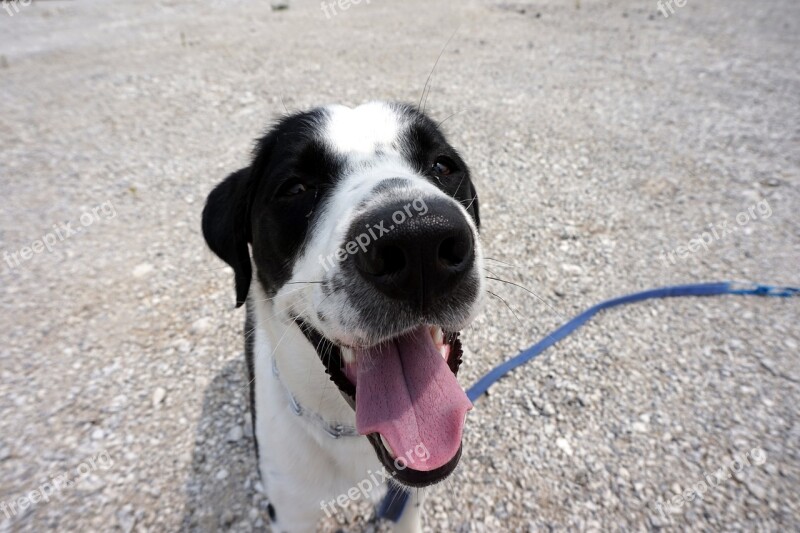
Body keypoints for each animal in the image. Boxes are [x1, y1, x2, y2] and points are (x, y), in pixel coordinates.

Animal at [203, 102, 484, 528]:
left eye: (442, 165)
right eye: (295, 188)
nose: (419, 240)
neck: (349, 429)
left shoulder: (407, 497)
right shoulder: (289, 508)